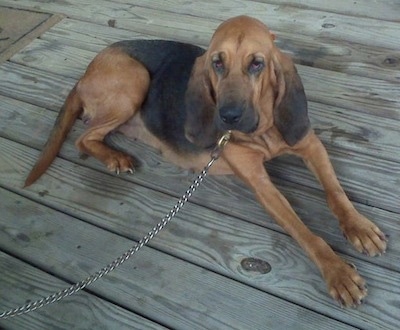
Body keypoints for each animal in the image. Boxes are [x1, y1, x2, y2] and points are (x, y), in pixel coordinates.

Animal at [25, 15, 388, 308]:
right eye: (217, 63)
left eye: (257, 64)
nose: (228, 116)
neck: (263, 131)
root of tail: (87, 71)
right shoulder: (260, 181)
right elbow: (304, 231)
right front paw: (338, 272)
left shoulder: (310, 145)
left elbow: (334, 192)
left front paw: (358, 227)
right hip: (134, 79)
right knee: (83, 137)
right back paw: (116, 157)